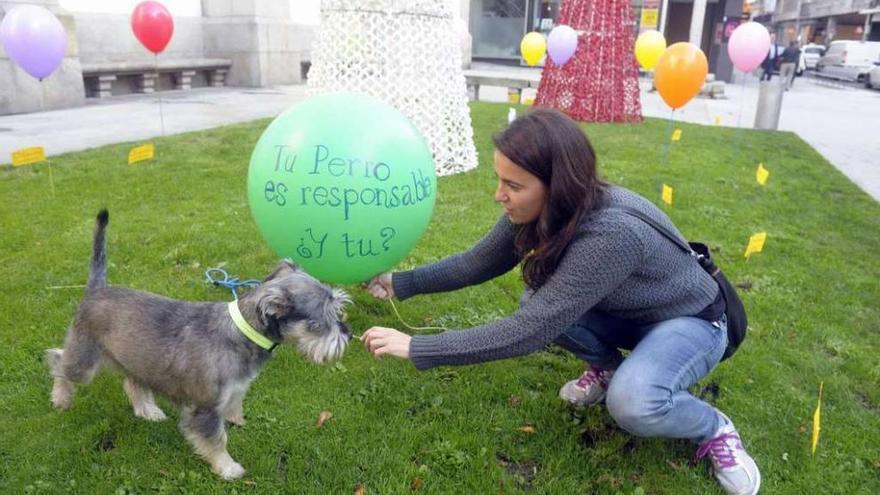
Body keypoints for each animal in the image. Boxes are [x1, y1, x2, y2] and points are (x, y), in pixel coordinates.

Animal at [47, 210, 350, 480]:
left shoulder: (234, 390)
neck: (241, 334)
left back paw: (147, 410)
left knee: (132, 382)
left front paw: (237, 421)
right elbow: (216, 440)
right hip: (84, 362)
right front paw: (228, 468)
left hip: (135, 359)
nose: (346, 334)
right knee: (57, 360)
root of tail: (96, 290)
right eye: (322, 320)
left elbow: (234, 408)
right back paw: (61, 398)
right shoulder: (204, 410)